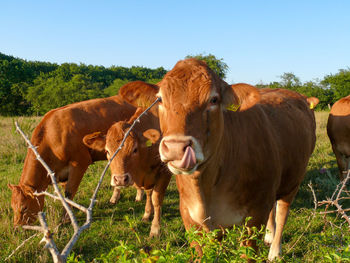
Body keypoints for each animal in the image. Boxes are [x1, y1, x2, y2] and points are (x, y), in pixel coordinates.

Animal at [157, 58, 316, 262]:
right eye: (160, 99)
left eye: (213, 99)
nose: (176, 148)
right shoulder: (189, 215)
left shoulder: (255, 214)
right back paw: (269, 235)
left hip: (293, 181)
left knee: (282, 212)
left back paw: (275, 251)